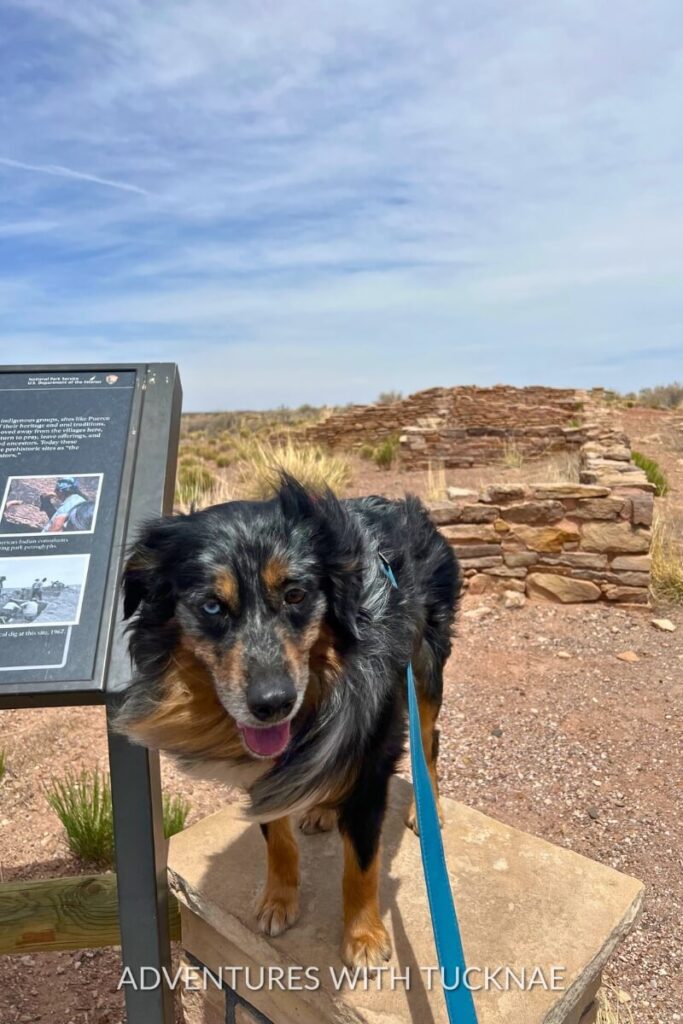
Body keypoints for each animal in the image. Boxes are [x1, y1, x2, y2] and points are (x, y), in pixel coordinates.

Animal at [116, 471, 458, 966]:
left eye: (296, 595)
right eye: (212, 606)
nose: (273, 703)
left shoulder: (372, 757)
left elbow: (361, 864)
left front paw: (363, 936)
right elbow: (275, 836)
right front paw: (278, 900)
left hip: (427, 668)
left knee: (430, 741)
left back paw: (425, 808)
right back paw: (322, 807)